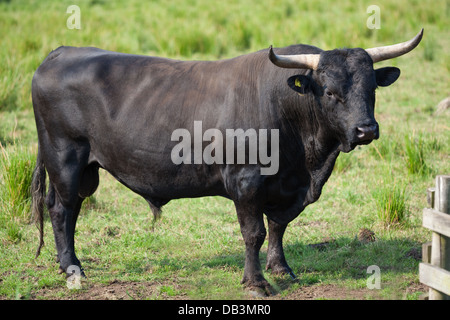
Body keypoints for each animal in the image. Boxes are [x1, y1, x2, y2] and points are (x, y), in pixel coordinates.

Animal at [30, 30, 422, 296]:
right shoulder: (246, 183)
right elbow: (254, 233)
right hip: (65, 159)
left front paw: (280, 269)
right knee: (62, 211)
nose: (366, 129)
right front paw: (256, 282)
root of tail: (60, 53)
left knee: (68, 210)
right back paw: (73, 270)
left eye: (372, 89)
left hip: (83, 170)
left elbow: (278, 226)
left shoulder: (288, 187)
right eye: (329, 91)